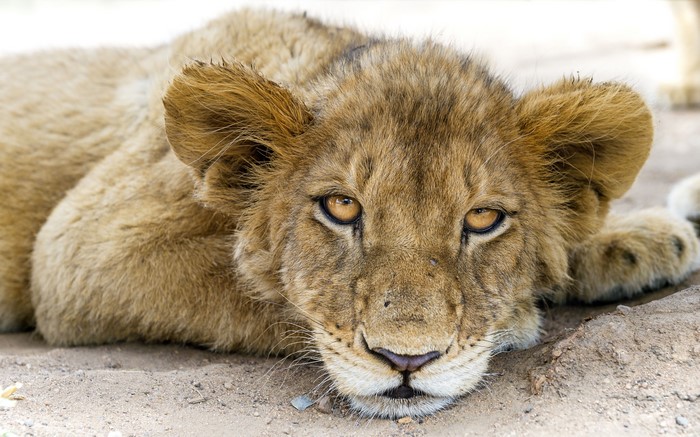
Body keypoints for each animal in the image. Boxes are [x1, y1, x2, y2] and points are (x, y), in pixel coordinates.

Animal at [0, 9, 698, 418]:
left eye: (482, 220)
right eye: (341, 207)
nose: (408, 362)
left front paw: (641, 238)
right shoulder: (81, 248)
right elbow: (257, 287)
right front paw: (523, 316)